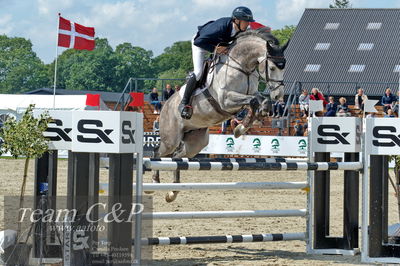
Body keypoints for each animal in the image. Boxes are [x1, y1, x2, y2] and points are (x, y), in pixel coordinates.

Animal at [152, 27, 286, 202]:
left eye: (283, 67)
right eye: (272, 68)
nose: (279, 95)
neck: (242, 67)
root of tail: (165, 105)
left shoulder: (246, 96)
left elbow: (259, 101)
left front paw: (242, 128)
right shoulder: (226, 100)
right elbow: (254, 100)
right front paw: (242, 127)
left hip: (196, 142)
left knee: (177, 157)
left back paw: (173, 191)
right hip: (171, 138)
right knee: (158, 152)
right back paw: (154, 182)